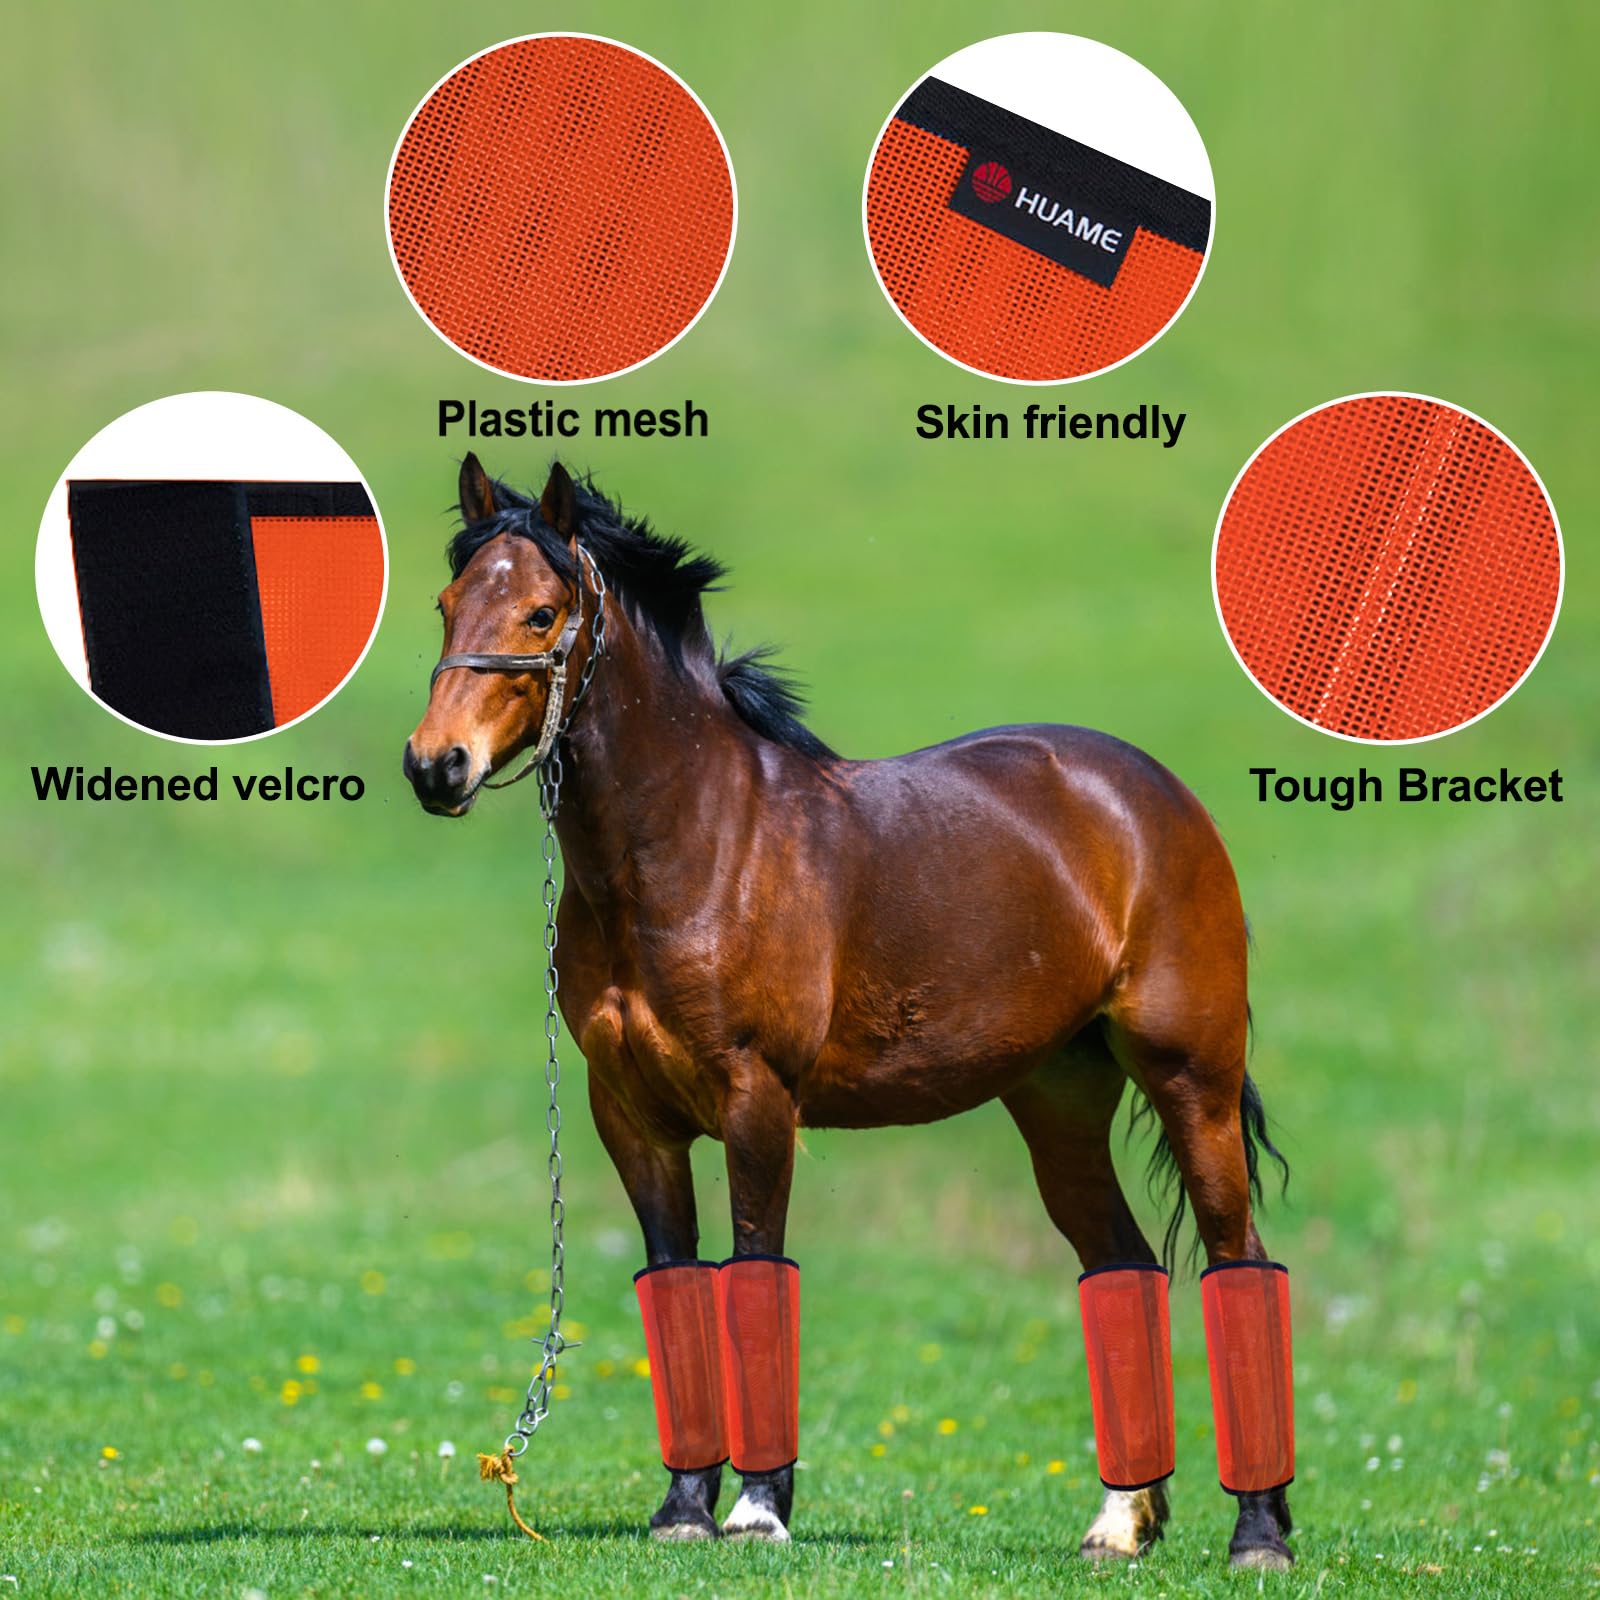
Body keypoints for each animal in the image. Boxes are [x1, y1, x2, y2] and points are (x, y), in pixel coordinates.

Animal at [404, 456, 1295, 1569]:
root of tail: (1151, 794)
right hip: (1058, 1103)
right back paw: (1120, 1521)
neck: (696, 845)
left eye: (541, 611)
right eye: (447, 604)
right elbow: (676, 1279)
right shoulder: (631, 1116)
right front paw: (683, 1507)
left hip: (1191, 1083)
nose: (434, 766)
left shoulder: (757, 1100)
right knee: (1121, 1267)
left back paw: (1259, 1531)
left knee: (1238, 1260)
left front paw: (756, 1508)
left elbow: (754, 1270)